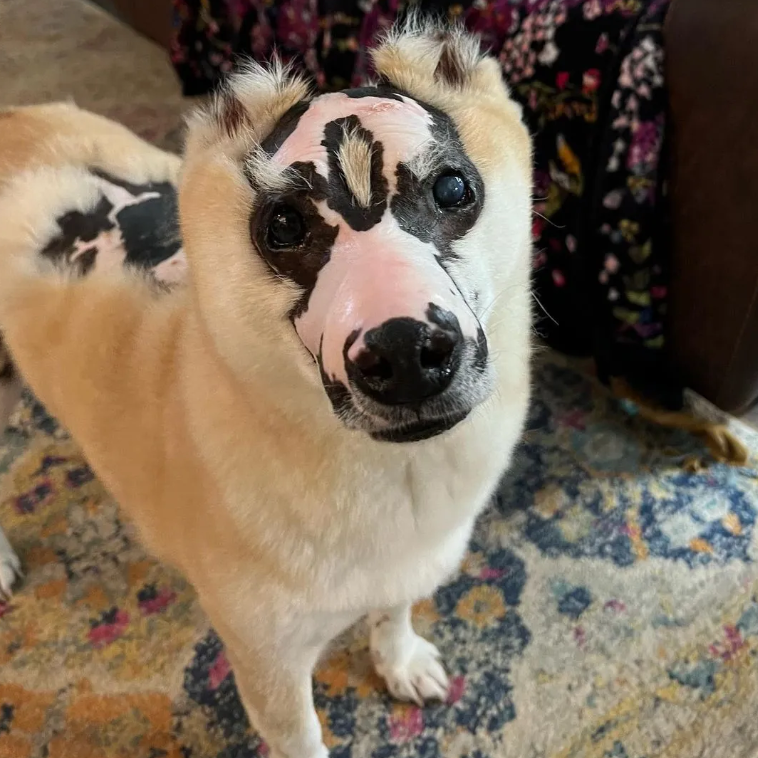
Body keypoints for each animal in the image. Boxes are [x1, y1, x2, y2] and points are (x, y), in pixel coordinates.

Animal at [0, 20, 536, 756]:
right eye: (282, 225)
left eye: (453, 189)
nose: (404, 353)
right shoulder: (268, 666)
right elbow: (301, 737)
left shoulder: (403, 568)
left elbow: (393, 610)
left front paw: (400, 662)